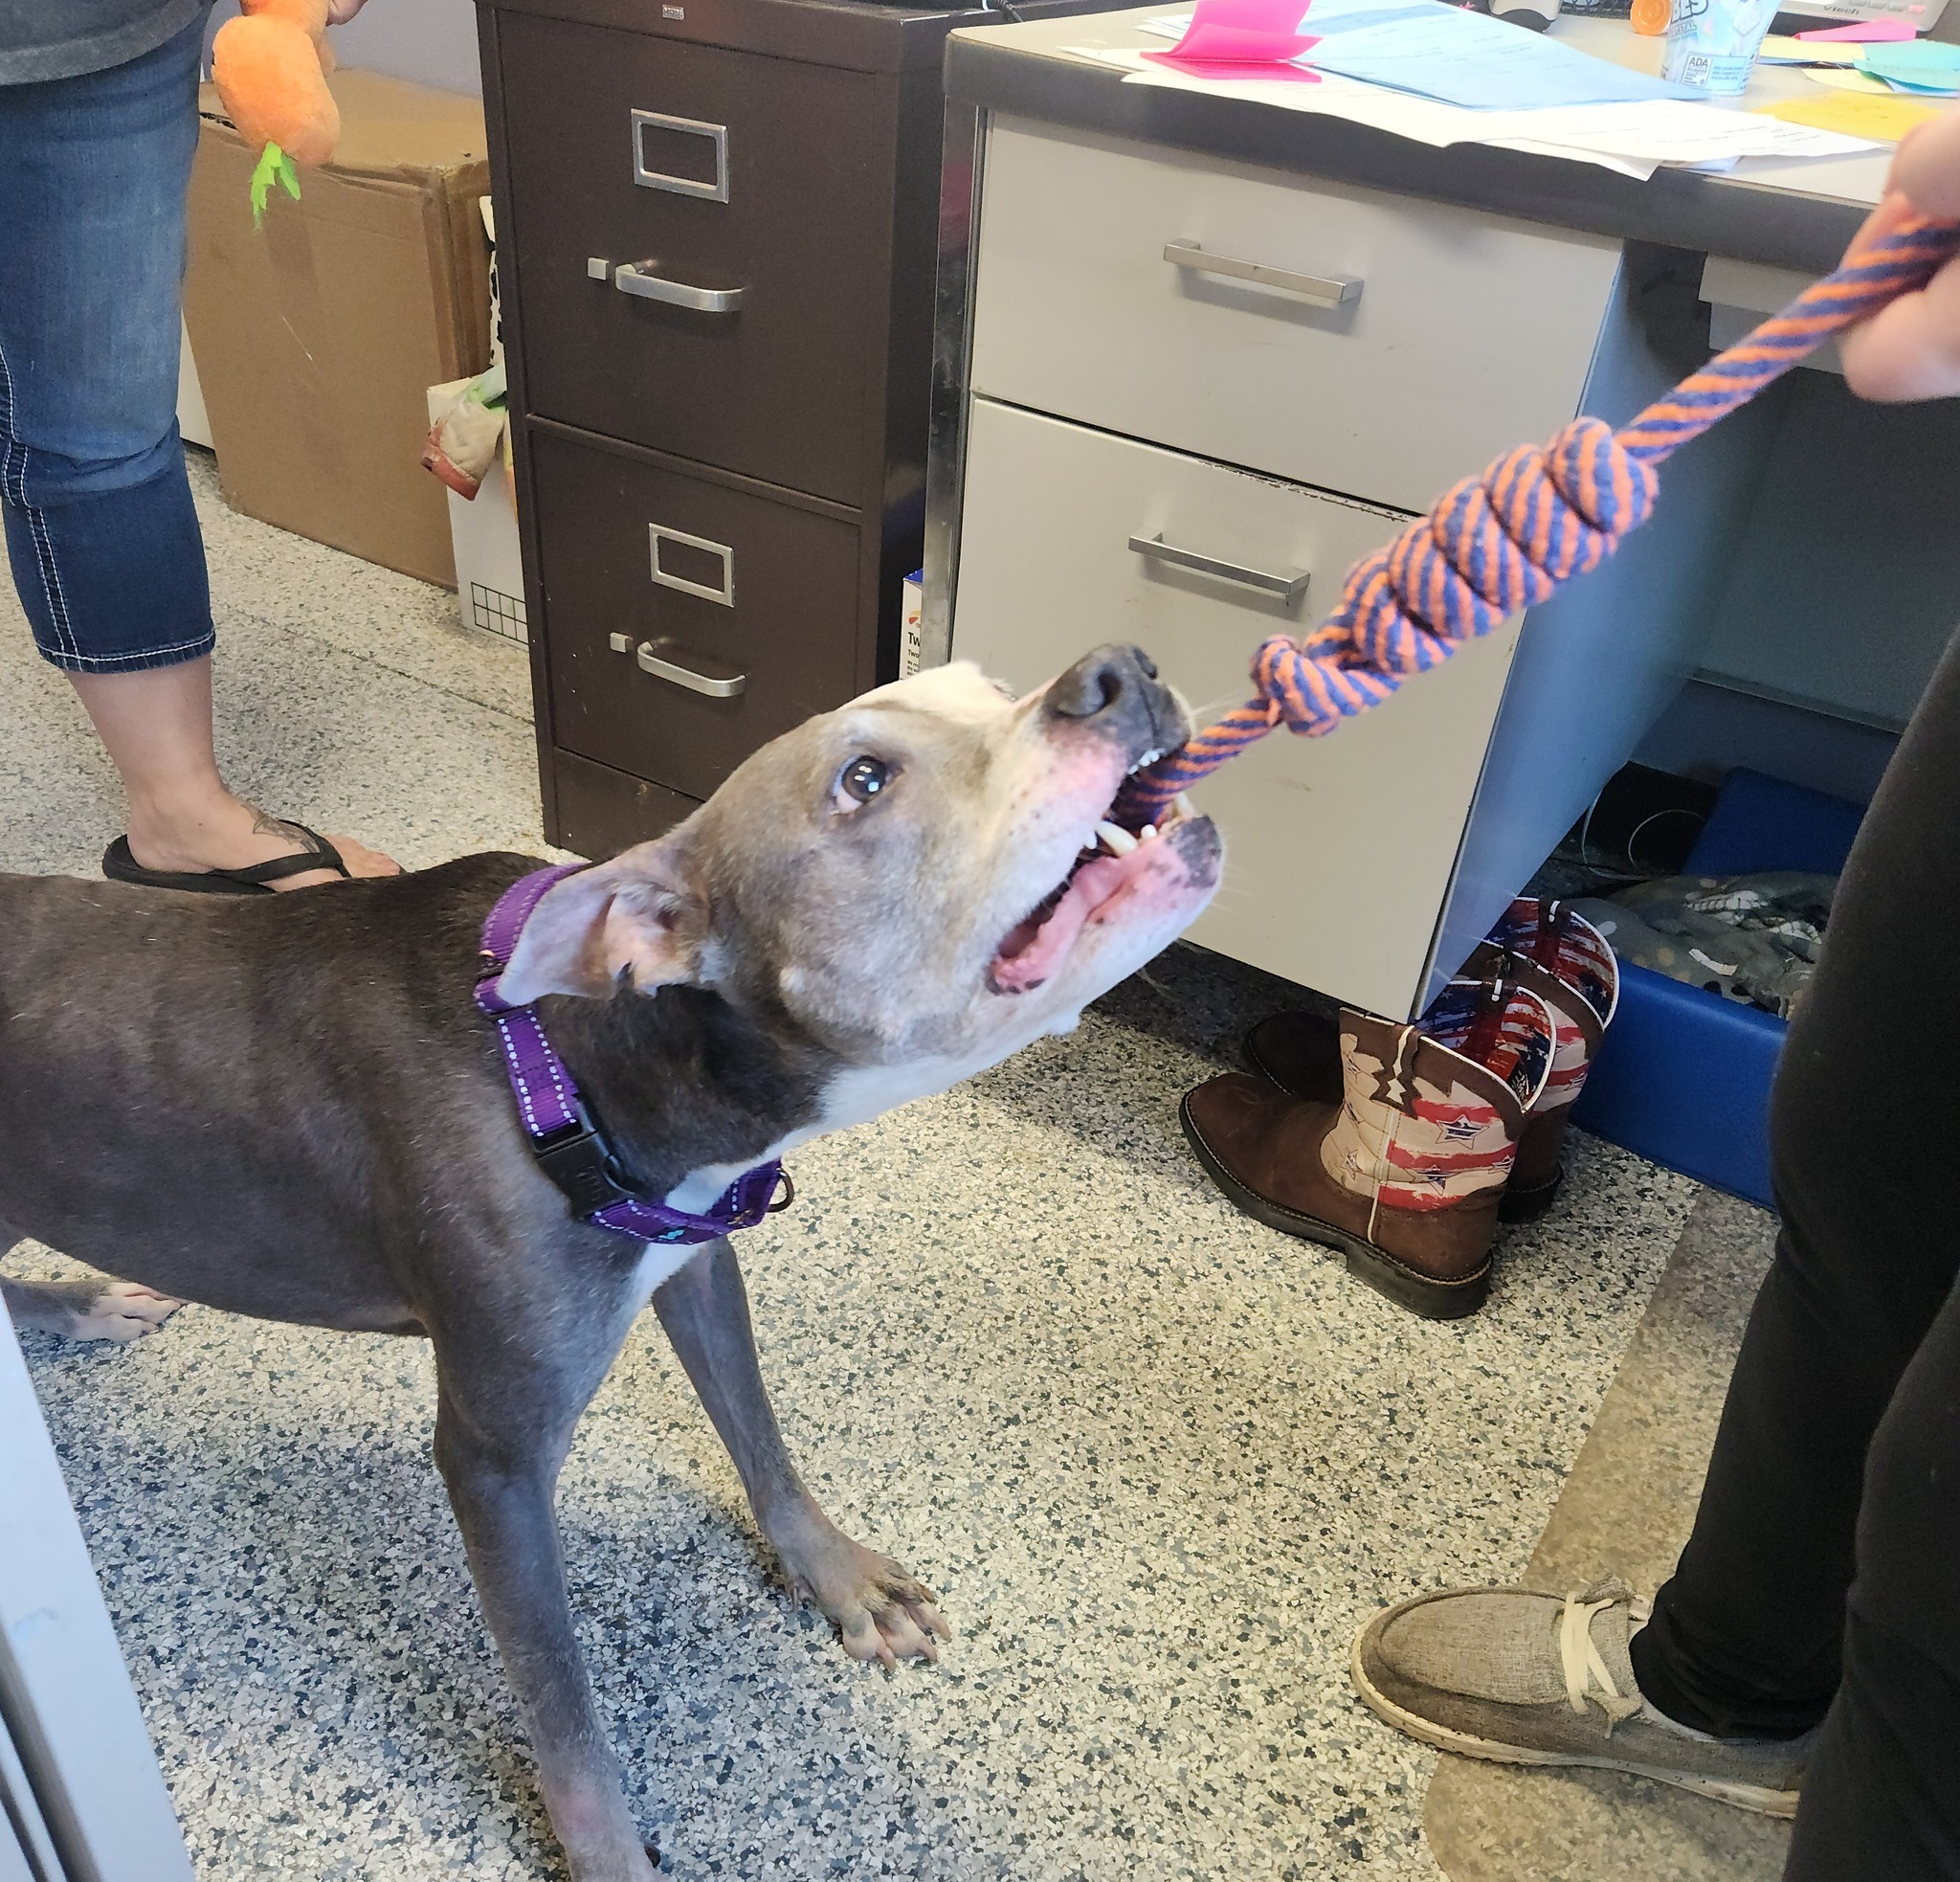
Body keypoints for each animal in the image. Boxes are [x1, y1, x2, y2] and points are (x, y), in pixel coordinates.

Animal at [0, 639, 1214, 1873]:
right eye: (863, 779)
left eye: (983, 683)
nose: (1120, 669)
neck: (573, 1062)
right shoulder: (494, 1458)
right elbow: (561, 1702)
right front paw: (605, 1848)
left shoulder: (696, 1265)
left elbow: (759, 1435)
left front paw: (834, 1573)